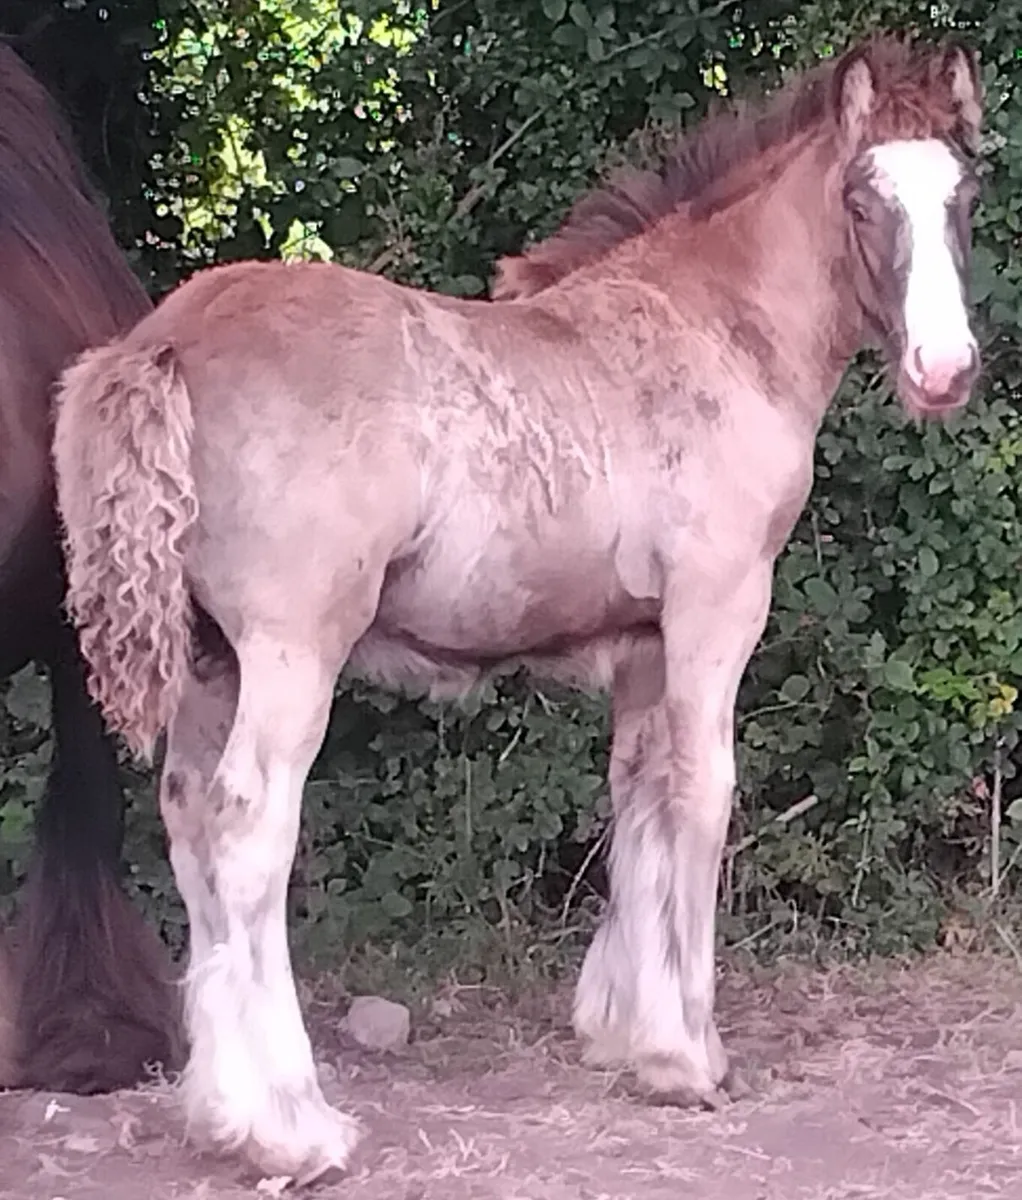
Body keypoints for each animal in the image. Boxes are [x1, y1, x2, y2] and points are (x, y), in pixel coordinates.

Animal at [51, 33, 983, 1182]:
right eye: (862, 199)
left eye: (966, 194)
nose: (944, 370)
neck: (715, 333)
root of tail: (164, 342)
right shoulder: (717, 609)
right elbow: (705, 794)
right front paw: (690, 1054)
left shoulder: (640, 643)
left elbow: (637, 796)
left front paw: (622, 1032)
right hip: (290, 652)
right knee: (248, 827)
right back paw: (293, 1125)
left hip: (209, 658)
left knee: (187, 821)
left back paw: (220, 1112)